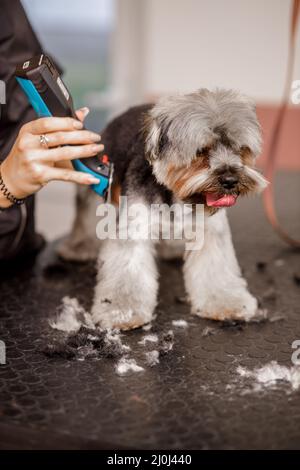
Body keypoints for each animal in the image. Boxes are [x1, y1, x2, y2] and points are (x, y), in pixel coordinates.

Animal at [58, 88, 268, 330]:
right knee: (87, 214)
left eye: (240, 149)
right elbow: (128, 269)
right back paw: (80, 246)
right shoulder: (134, 225)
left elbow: (215, 267)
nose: (230, 180)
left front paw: (226, 302)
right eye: (201, 151)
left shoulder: (210, 230)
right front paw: (121, 311)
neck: (178, 195)